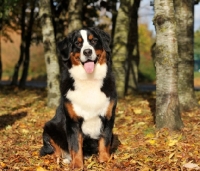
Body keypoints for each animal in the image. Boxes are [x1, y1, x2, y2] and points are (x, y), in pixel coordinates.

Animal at [39, 27, 117, 168]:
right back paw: (62, 159)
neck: (89, 79)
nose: (87, 51)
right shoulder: (72, 121)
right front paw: (77, 165)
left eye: (94, 40)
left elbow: (105, 140)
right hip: (49, 127)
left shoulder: (108, 117)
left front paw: (104, 160)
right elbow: (75, 145)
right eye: (77, 43)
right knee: (54, 150)